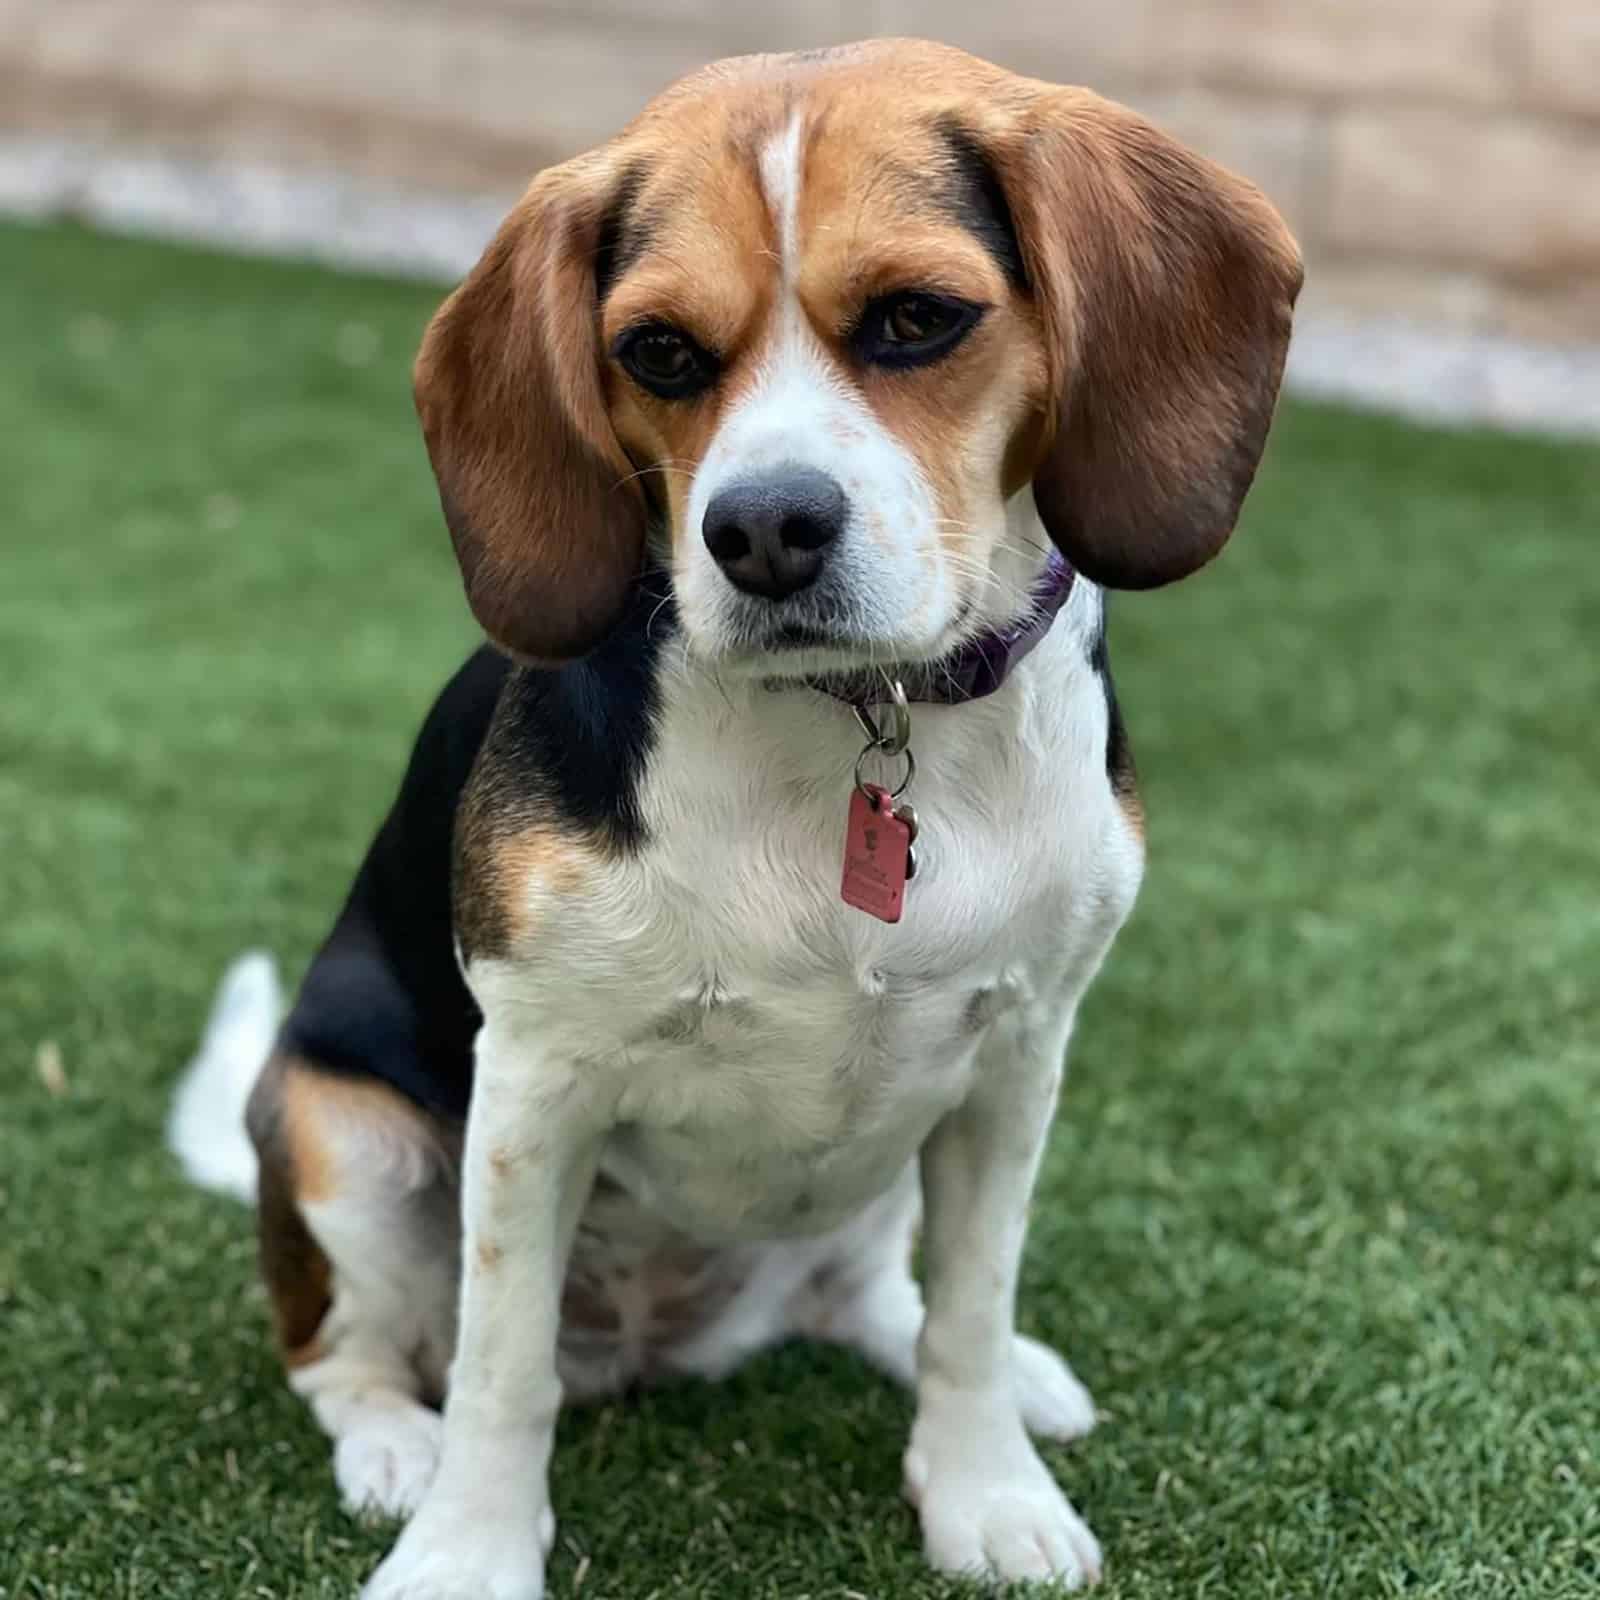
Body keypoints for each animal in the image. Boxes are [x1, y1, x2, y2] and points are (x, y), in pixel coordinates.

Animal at [172, 37, 1299, 1600]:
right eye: (658, 351)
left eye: (917, 319)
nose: (763, 531)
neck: (860, 716)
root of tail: (657, 1344)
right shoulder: (536, 1083)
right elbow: (502, 1363)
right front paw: (466, 1552)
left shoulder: (1020, 1052)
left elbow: (969, 1301)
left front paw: (985, 1490)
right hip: (342, 1133)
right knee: (348, 1354)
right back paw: (394, 1448)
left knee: (876, 1294)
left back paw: (1008, 1375)